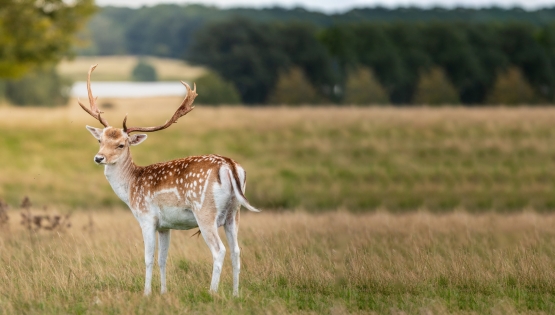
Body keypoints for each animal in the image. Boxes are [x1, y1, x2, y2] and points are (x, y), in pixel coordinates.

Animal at [80, 65, 260, 298]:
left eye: (121, 144)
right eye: (100, 140)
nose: (99, 158)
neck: (131, 187)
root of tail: (229, 165)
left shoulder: (146, 218)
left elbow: (148, 258)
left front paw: (146, 293)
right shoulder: (165, 225)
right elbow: (163, 259)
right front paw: (163, 292)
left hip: (205, 211)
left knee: (219, 250)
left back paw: (212, 292)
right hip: (234, 212)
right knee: (237, 250)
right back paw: (235, 294)